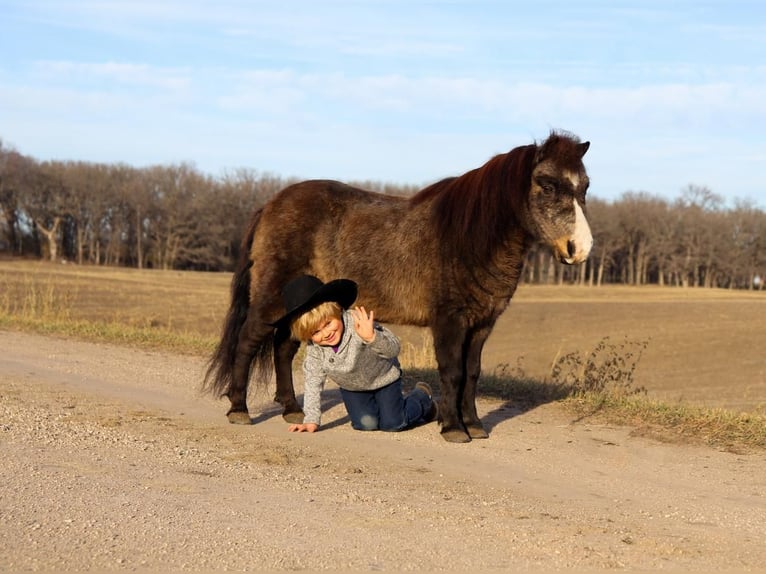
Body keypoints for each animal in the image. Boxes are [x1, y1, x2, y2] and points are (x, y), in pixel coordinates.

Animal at [204, 132, 592, 446]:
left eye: (585, 186)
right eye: (546, 184)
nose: (580, 248)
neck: (468, 238)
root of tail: (271, 204)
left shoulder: (482, 324)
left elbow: (472, 373)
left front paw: (474, 425)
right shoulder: (449, 322)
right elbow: (453, 371)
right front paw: (453, 428)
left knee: (283, 349)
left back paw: (292, 409)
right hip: (270, 300)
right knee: (248, 342)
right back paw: (239, 409)